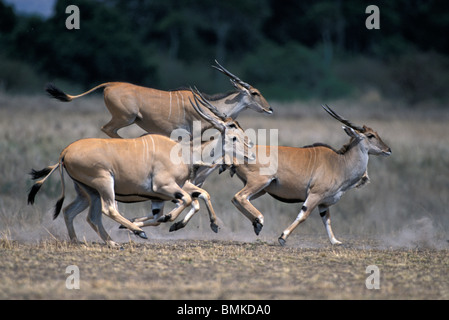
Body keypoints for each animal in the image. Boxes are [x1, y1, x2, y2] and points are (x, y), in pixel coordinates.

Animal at [27, 89, 252, 246]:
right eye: (233, 135)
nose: (250, 153)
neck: (183, 151)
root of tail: (65, 152)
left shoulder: (162, 196)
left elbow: (181, 205)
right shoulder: (165, 188)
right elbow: (189, 201)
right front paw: (169, 222)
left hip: (89, 192)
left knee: (77, 213)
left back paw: (97, 241)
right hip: (104, 184)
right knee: (108, 210)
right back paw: (134, 232)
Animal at [228, 104, 388, 245]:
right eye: (370, 135)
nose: (388, 150)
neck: (339, 162)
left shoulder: (323, 203)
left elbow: (327, 221)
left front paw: (335, 241)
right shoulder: (314, 195)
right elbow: (303, 216)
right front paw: (282, 237)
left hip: (261, 190)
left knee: (237, 199)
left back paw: (257, 224)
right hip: (259, 183)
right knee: (239, 197)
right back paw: (259, 220)